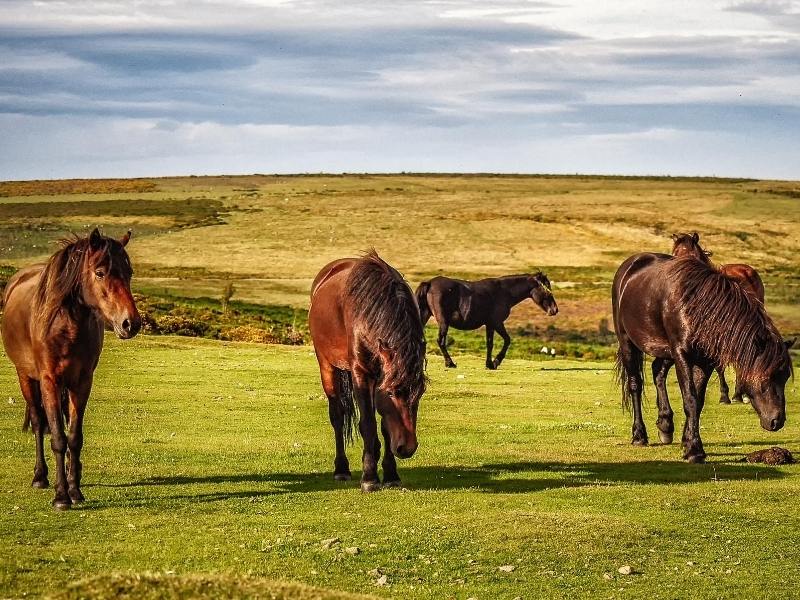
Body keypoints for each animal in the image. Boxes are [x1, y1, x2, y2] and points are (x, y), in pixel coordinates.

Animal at [1, 227, 141, 508]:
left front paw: (74, 489)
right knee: (37, 421)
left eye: (129, 272)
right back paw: (40, 477)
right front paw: (61, 496)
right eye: (100, 272)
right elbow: (57, 437)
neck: (65, 324)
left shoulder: (82, 382)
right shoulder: (49, 381)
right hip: (26, 377)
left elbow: (74, 437)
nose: (130, 323)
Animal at [310, 251, 428, 490]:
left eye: (420, 393)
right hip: (327, 366)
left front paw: (391, 474)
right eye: (391, 392)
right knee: (337, 416)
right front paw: (369, 478)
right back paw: (342, 469)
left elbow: (384, 426)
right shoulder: (361, 373)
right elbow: (367, 424)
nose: (407, 448)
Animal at [412, 274, 556, 370]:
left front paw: (489, 364)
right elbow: (507, 340)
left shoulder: (490, 325)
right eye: (546, 288)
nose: (554, 310)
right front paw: (496, 361)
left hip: (425, 316)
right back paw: (450, 363)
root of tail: (429, 283)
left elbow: (489, 344)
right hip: (443, 322)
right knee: (441, 341)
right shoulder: (497, 323)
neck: (503, 292)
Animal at [612, 251, 792, 462]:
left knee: (658, 372)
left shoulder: (705, 361)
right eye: (765, 379)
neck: (698, 307)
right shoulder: (681, 354)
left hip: (665, 350)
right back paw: (639, 435)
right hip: (628, 343)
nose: (777, 421)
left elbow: (697, 401)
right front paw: (694, 450)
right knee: (635, 385)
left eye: (785, 378)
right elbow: (689, 399)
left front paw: (687, 441)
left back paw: (665, 425)